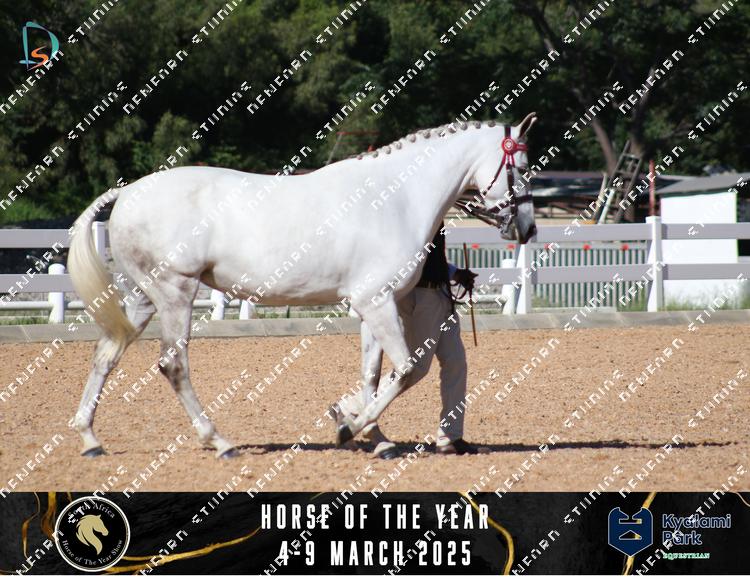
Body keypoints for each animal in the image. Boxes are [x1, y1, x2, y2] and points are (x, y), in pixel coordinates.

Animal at [67, 114, 537, 459]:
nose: (528, 228)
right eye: (521, 168)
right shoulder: (377, 302)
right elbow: (406, 370)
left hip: (142, 299)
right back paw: (219, 441)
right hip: (174, 293)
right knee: (173, 365)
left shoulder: (371, 305)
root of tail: (129, 192)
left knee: (106, 355)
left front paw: (375, 437)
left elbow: (371, 375)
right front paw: (350, 427)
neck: (395, 198)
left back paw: (90, 439)